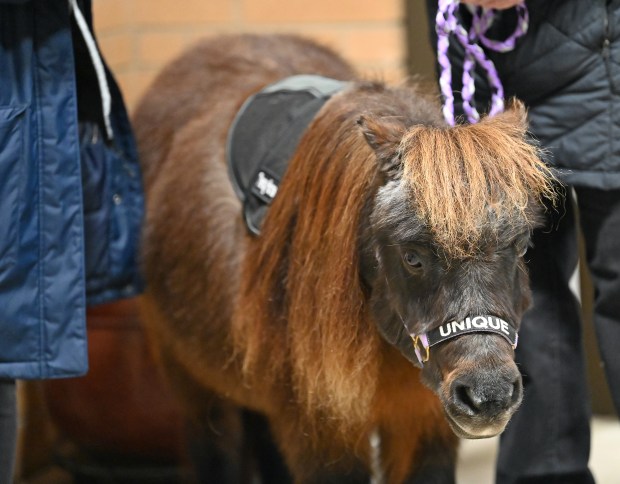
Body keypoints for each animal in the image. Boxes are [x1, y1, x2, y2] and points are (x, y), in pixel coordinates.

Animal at [133, 35, 556, 484]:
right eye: (412, 256)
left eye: (522, 244)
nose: (488, 395)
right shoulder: (322, 436)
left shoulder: (422, 425)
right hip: (196, 390)